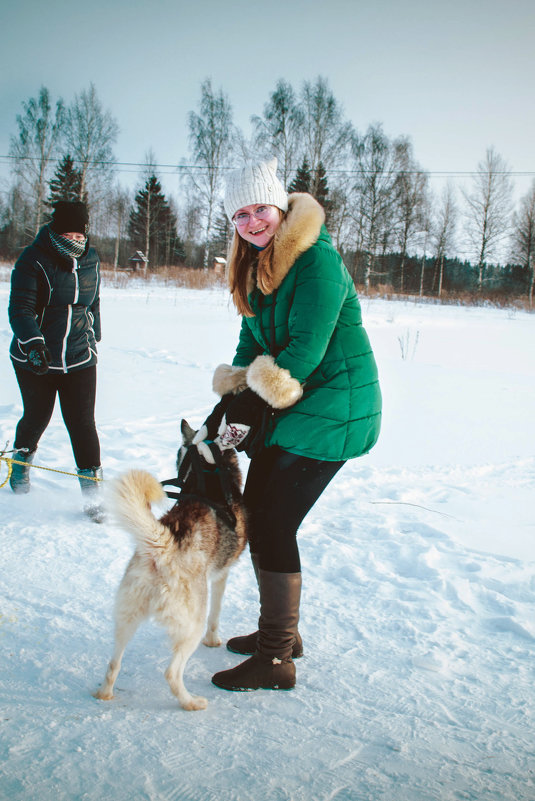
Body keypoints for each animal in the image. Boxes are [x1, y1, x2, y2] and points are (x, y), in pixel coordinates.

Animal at [93, 422, 247, 708]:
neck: (208, 476)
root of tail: (162, 546)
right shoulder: (222, 575)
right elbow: (216, 614)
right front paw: (213, 641)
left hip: (126, 616)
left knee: (113, 663)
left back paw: (104, 693)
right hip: (192, 624)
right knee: (171, 673)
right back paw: (191, 702)